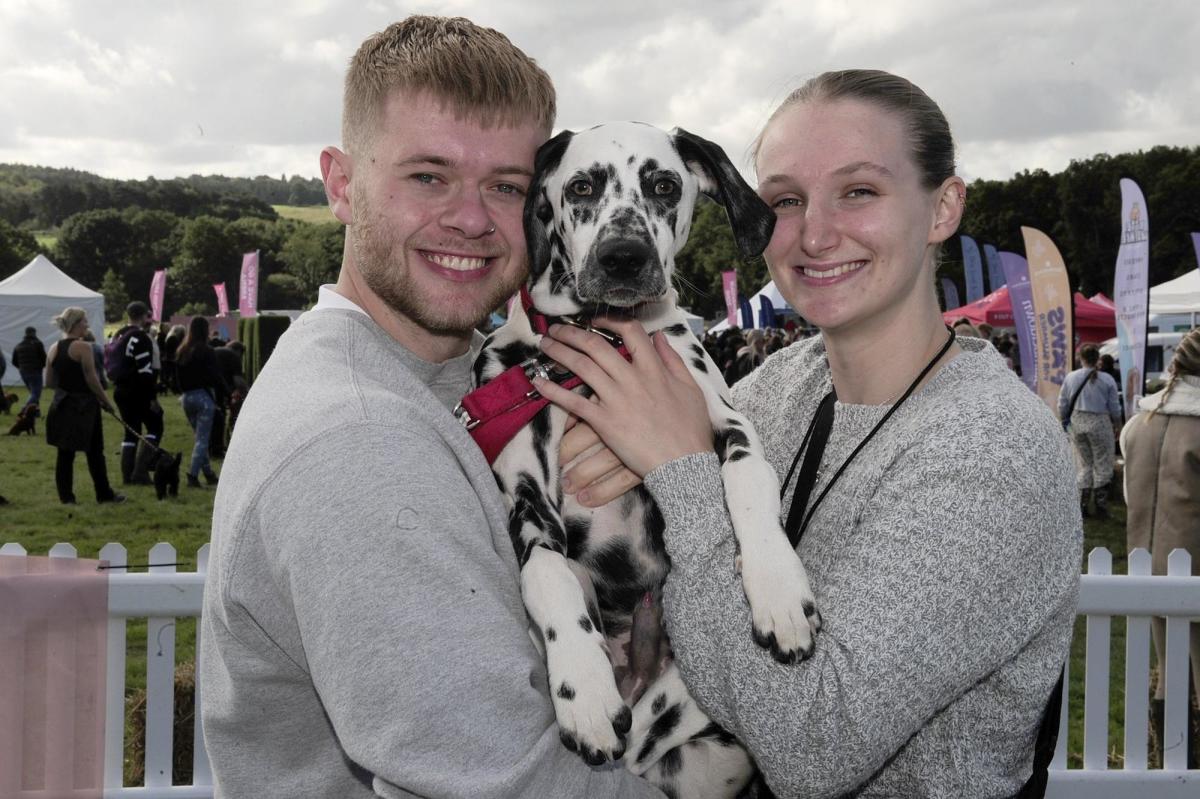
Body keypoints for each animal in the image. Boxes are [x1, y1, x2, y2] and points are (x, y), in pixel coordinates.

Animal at [463, 121, 820, 791]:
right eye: (581, 186)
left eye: (664, 185)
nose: (624, 257)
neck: (603, 340)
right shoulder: (526, 496)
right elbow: (545, 574)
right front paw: (583, 691)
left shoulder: (728, 424)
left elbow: (748, 485)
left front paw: (780, 590)